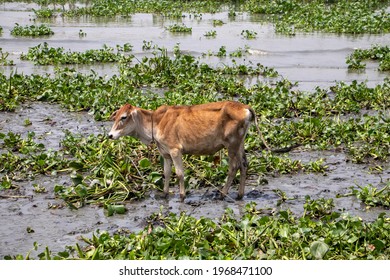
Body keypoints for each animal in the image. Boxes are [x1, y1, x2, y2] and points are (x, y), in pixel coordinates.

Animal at [109, 100, 260, 201]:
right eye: (115, 117)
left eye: (124, 117)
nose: (110, 135)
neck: (156, 122)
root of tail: (244, 106)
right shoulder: (166, 154)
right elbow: (167, 173)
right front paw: (165, 194)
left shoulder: (175, 151)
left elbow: (180, 174)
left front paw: (182, 195)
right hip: (240, 144)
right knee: (244, 165)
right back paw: (240, 194)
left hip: (232, 145)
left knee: (234, 167)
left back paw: (222, 194)